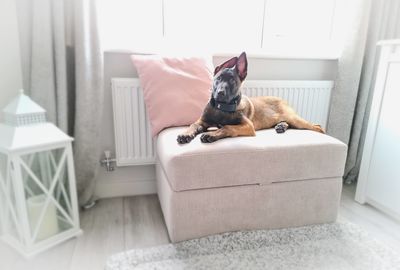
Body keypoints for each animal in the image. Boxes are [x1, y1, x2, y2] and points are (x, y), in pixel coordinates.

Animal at [178, 51, 324, 143]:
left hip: (295, 119)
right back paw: (281, 126)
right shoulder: (202, 121)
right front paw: (186, 134)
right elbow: (193, 125)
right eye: (218, 78)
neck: (222, 108)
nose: (220, 93)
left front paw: (211, 134)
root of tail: (282, 99)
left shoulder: (248, 126)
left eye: (232, 81)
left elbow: (227, 127)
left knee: (318, 127)